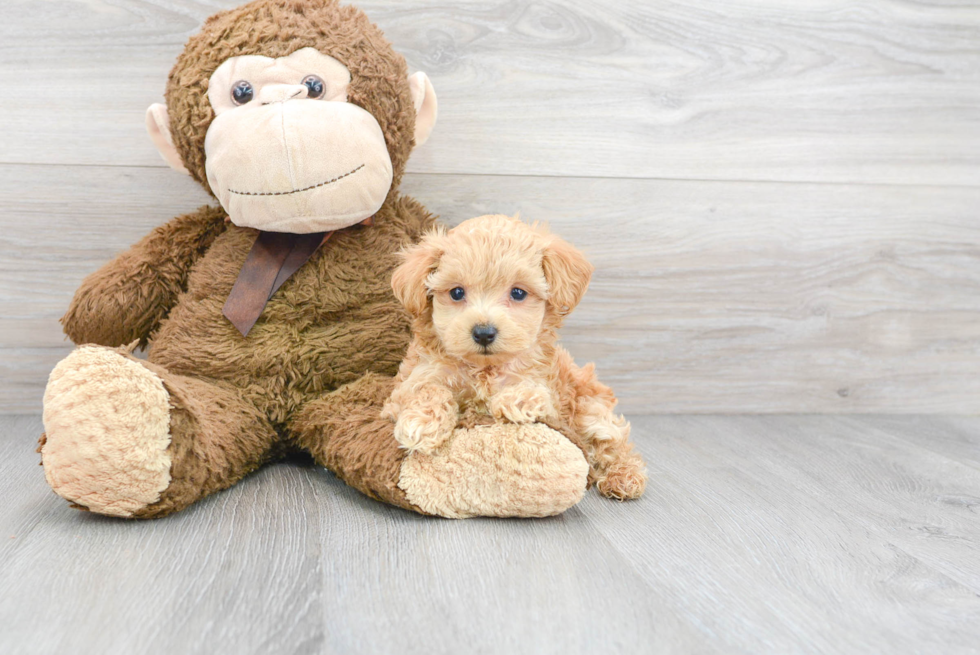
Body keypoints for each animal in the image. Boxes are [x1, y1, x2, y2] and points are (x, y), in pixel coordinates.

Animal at [384, 213, 652, 500]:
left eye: (518, 293)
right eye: (456, 293)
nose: (484, 333)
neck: (485, 369)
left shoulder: (547, 391)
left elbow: (533, 391)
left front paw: (516, 400)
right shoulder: (413, 380)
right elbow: (427, 390)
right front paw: (422, 423)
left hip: (590, 409)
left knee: (612, 441)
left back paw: (624, 476)